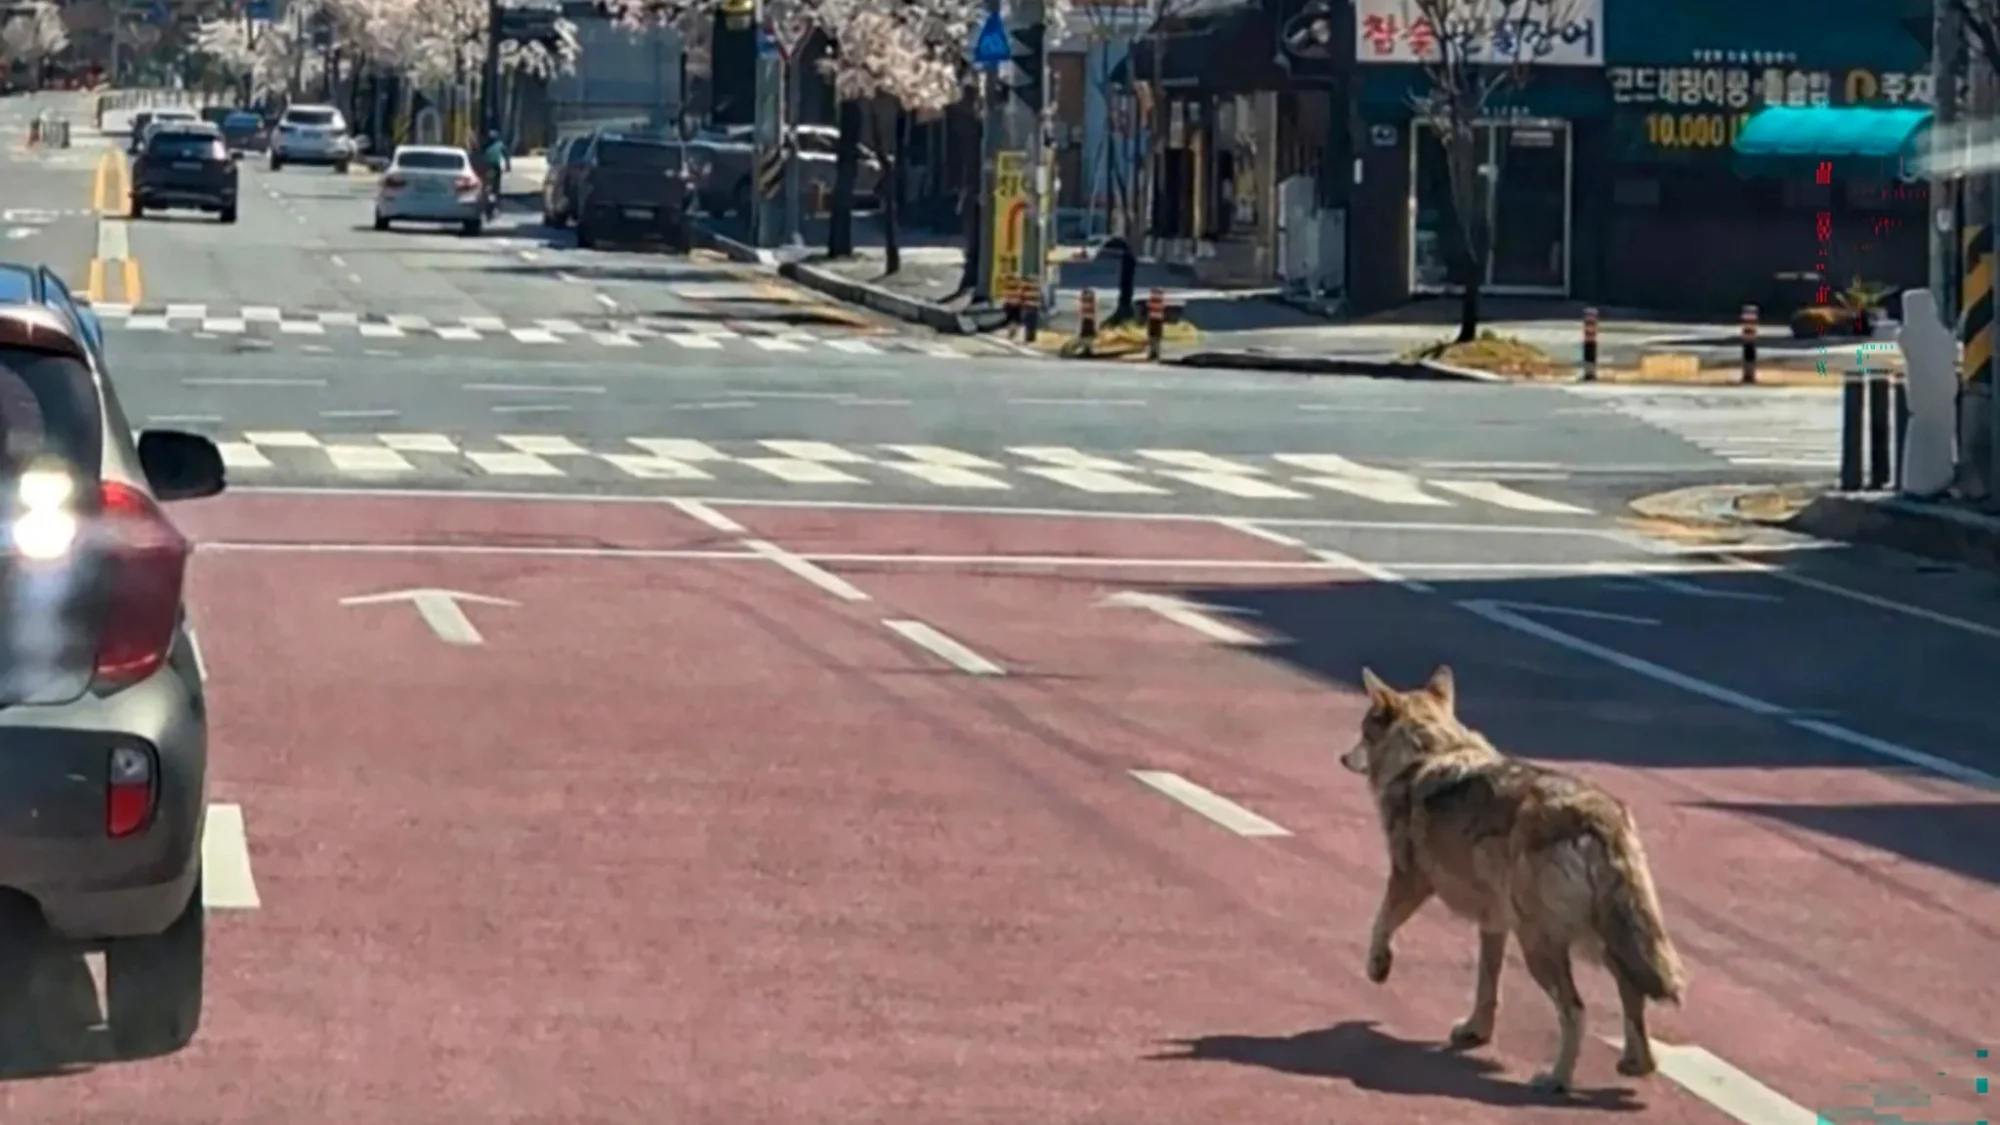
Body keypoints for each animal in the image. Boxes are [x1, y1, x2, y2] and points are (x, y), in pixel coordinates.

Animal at [1339, 664, 1686, 1093]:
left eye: (1362, 731)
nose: (1342, 757)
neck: (1429, 751)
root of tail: (1599, 818)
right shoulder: (1493, 923)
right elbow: (1487, 986)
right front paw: (1476, 1031)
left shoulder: (1409, 880)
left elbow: (1381, 923)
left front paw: (1378, 967)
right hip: (1601, 940)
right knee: (1632, 993)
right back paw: (1637, 1064)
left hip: (1540, 945)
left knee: (1576, 1011)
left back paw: (1556, 1080)